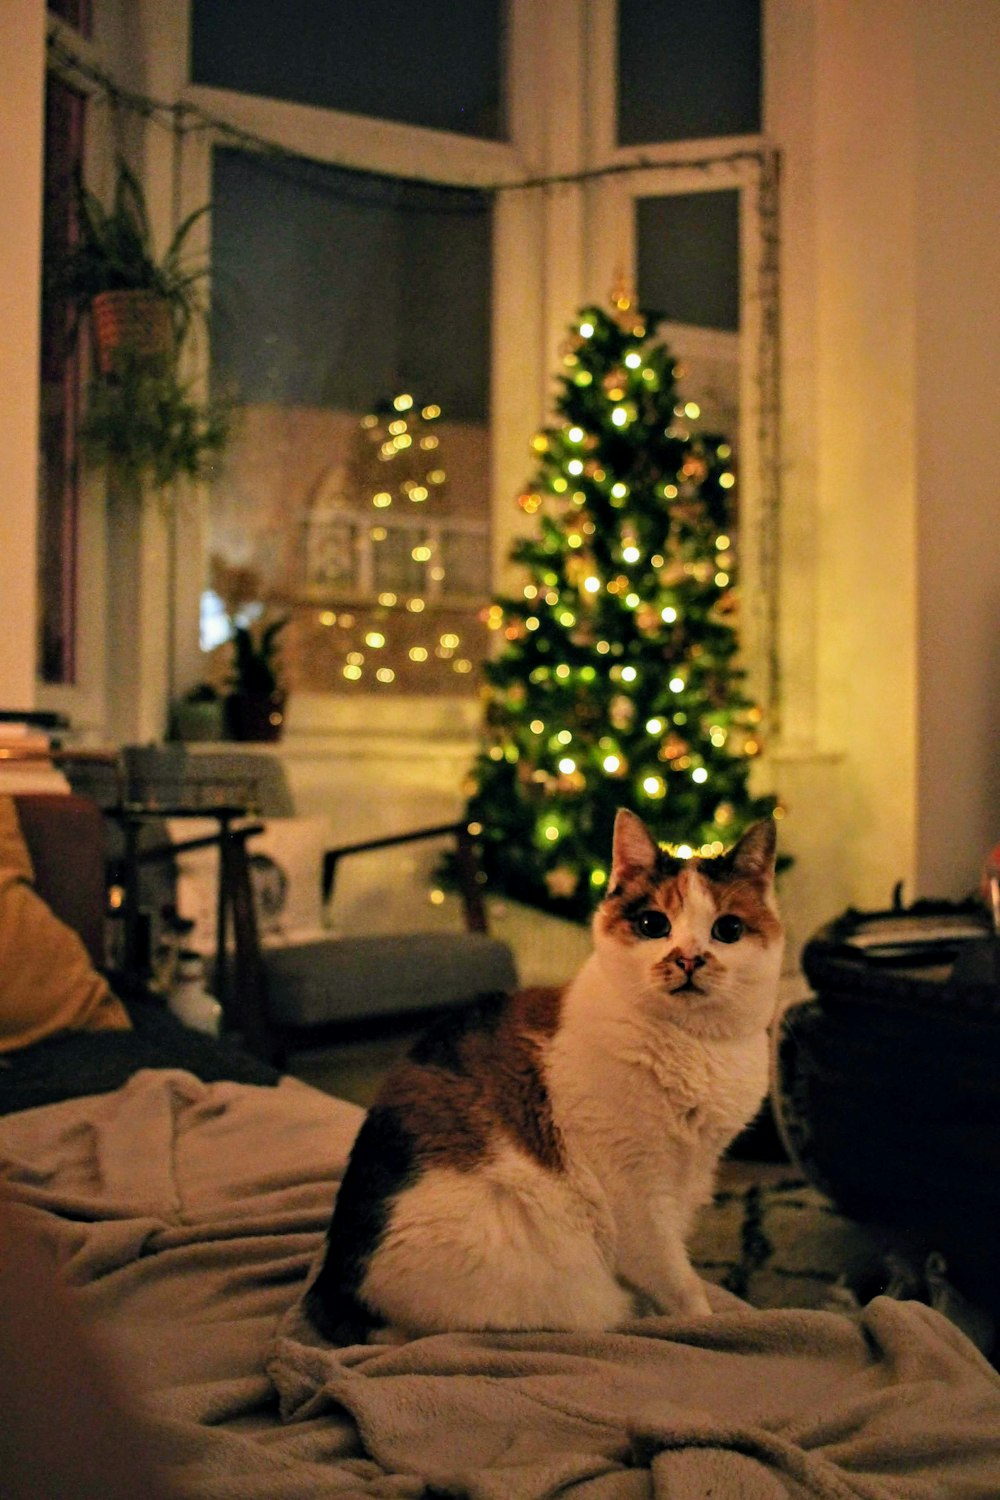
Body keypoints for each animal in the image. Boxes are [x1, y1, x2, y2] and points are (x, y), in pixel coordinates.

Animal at [305, 816, 779, 1344]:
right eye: (653, 925)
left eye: (728, 929)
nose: (690, 958)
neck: (696, 1047)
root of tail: (334, 1289)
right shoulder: (637, 1193)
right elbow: (678, 1281)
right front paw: (701, 1323)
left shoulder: (688, 1180)